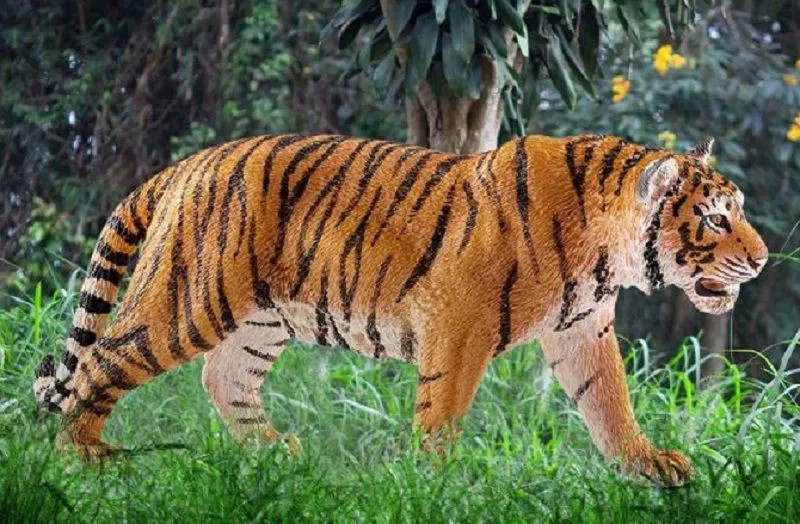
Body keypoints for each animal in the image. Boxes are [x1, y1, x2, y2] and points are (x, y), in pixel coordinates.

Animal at [33, 132, 767, 486]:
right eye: (715, 218)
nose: (762, 260)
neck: (607, 249)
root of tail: (184, 166)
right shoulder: (458, 323)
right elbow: (442, 410)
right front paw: (437, 484)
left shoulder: (583, 330)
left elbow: (609, 403)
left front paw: (646, 466)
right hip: (190, 300)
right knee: (102, 360)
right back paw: (83, 460)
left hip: (260, 319)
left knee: (223, 378)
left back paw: (275, 454)